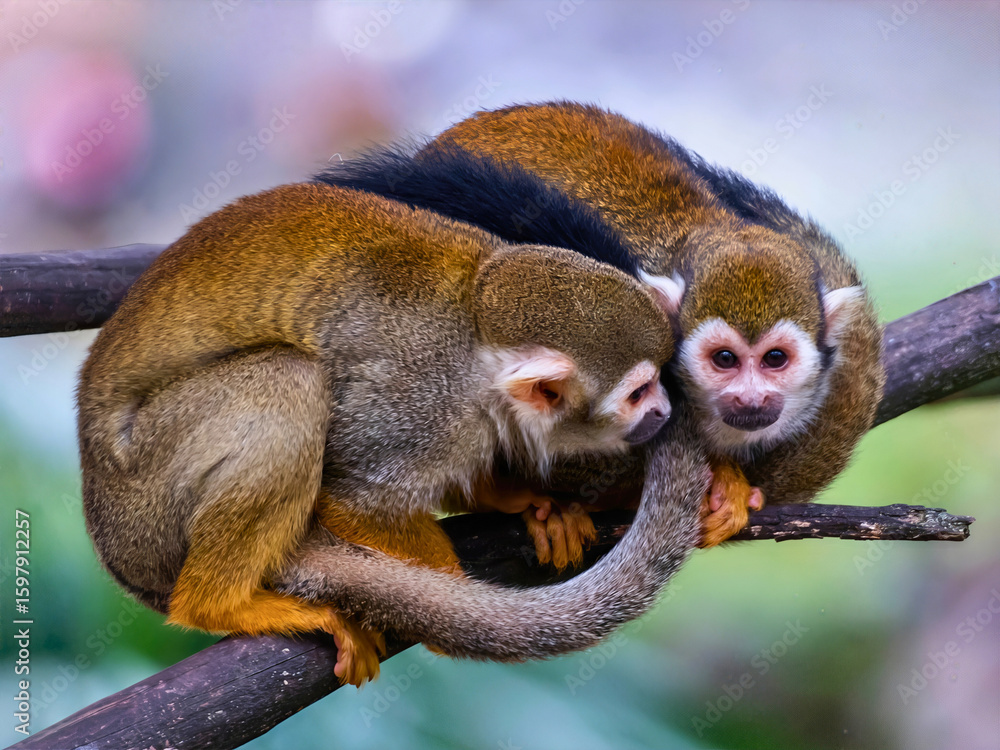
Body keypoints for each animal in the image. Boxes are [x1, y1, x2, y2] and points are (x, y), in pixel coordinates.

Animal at [77, 180, 712, 687]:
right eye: (638, 392)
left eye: (659, 381)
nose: (663, 410)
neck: (478, 347)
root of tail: (114, 546)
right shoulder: (423, 403)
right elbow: (355, 500)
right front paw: (451, 602)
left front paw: (526, 502)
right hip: (147, 485)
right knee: (290, 379)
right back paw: (219, 606)